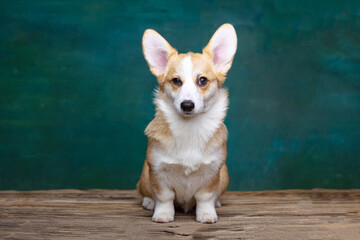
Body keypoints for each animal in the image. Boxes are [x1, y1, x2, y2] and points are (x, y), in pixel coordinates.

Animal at [136, 23, 238, 222]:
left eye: (202, 80)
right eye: (176, 81)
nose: (187, 105)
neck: (190, 127)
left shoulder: (212, 172)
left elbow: (205, 197)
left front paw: (206, 214)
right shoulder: (157, 171)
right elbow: (164, 197)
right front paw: (163, 214)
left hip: (225, 175)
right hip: (144, 174)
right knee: (146, 192)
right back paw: (149, 202)